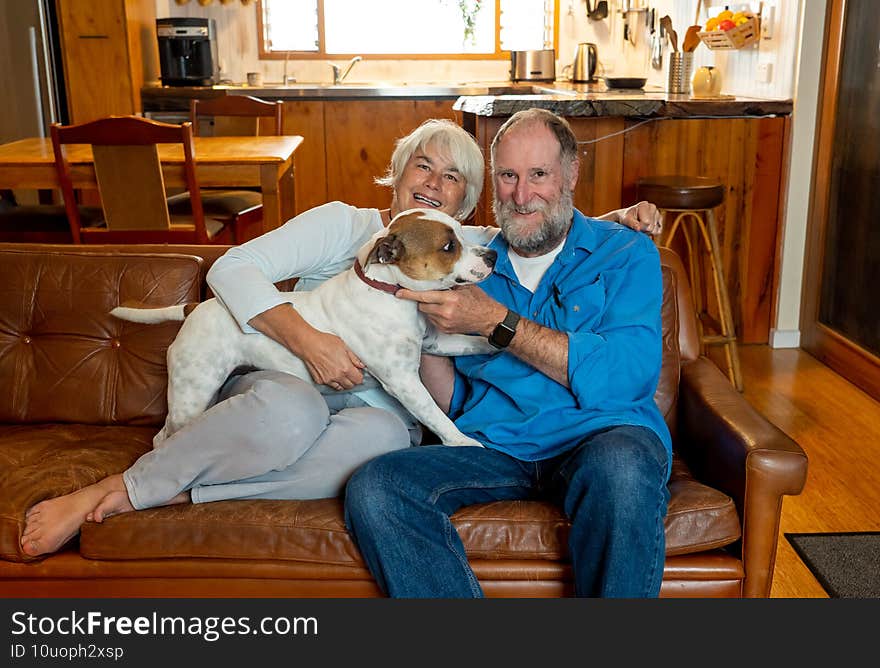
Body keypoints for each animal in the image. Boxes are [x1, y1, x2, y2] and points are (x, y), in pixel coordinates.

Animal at [111, 209, 496, 448]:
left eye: (462, 232)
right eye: (448, 246)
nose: (491, 256)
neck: (389, 293)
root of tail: (194, 307)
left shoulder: (437, 342)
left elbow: (473, 342)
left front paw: (496, 345)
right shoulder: (404, 382)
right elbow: (436, 415)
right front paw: (463, 441)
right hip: (191, 396)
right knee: (162, 438)